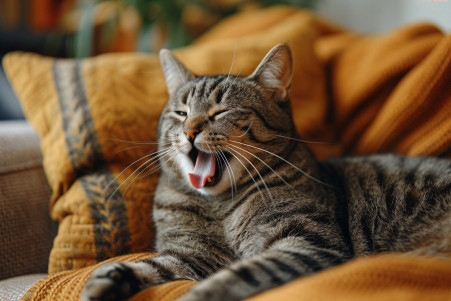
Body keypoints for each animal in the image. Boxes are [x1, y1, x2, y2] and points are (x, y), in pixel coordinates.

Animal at [81, 42, 451, 300]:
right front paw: (107, 280)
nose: (189, 131)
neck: (219, 207)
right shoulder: (192, 255)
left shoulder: (306, 243)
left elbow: (239, 275)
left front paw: (200, 294)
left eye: (221, 112)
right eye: (181, 112)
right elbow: (153, 265)